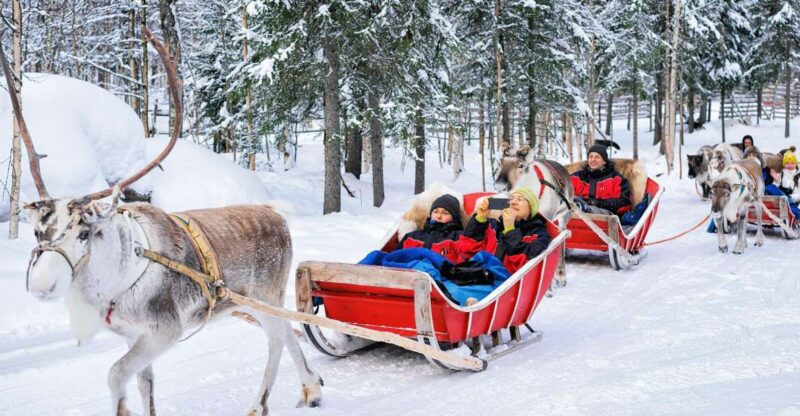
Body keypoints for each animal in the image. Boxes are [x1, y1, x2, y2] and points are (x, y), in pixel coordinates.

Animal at [5, 30, 322, 416]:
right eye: (38, 231)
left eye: (83, 233)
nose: (42, 285)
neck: (112, 280)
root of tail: (275, 214)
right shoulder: (134, 335)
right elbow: (145, 385)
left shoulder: (164, 330)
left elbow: (115, 375)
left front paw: (121, 407)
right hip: (253, 302)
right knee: (289, 330)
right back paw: (311, 387)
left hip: (264, 294)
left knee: (276, 339)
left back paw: (259, 405)